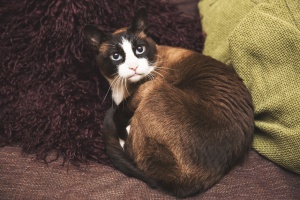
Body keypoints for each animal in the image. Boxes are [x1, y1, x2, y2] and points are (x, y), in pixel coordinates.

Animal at [83, 8, 254, 198]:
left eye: (140, 49)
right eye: (116, 56)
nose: (133, 67)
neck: (122, 87)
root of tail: (183, 186)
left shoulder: (144, 88)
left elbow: (120, 115)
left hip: (155, 88)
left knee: (131, 151)